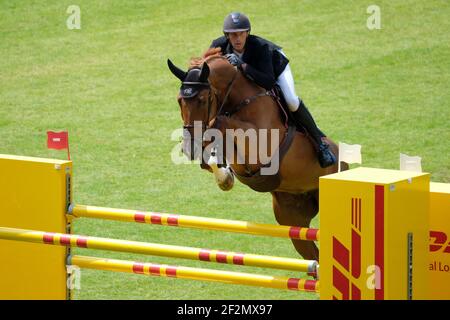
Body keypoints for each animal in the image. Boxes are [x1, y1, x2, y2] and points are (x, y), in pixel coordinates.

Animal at [167, 50, 346, 262]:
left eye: (202, 100)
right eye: (179, 100)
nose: (189, 146)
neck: (238, 101)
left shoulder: (259, 144)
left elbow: (220, 122)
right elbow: (214, 147)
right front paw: (224, 177)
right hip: (292, 218)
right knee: (313, 255)